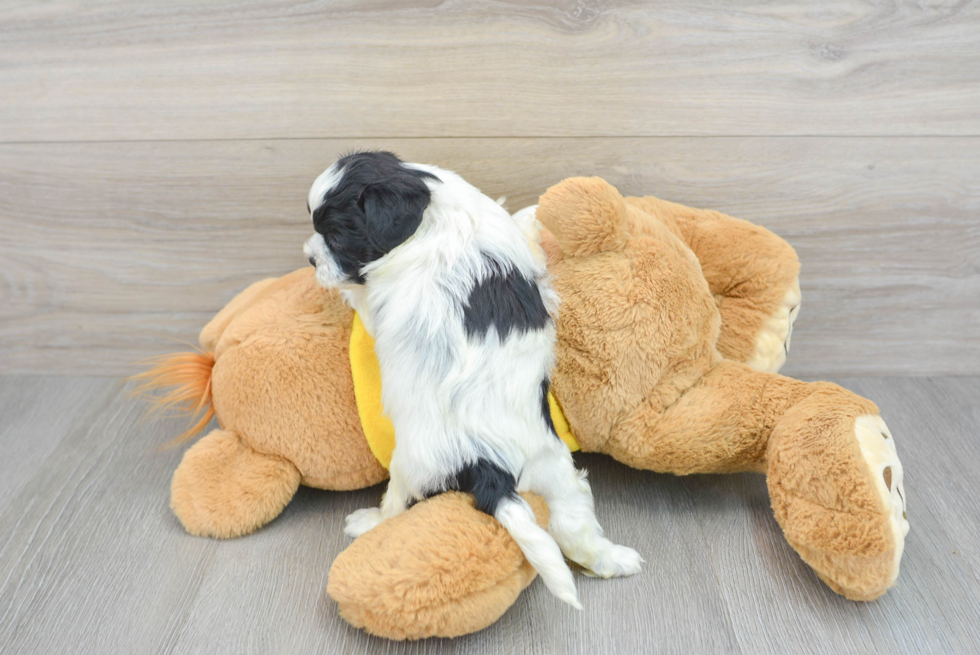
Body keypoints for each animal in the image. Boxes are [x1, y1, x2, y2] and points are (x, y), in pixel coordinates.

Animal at [304, 151, 644, 608]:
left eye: (338, 239)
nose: (310, 258)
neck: (432, 222)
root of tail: (487, 465)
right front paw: (531, 218)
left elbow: (360, 295)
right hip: (554, 468)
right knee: (572, 527)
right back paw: (614, 560)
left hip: (410, 467)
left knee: (397, 505)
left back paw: (369, 521)